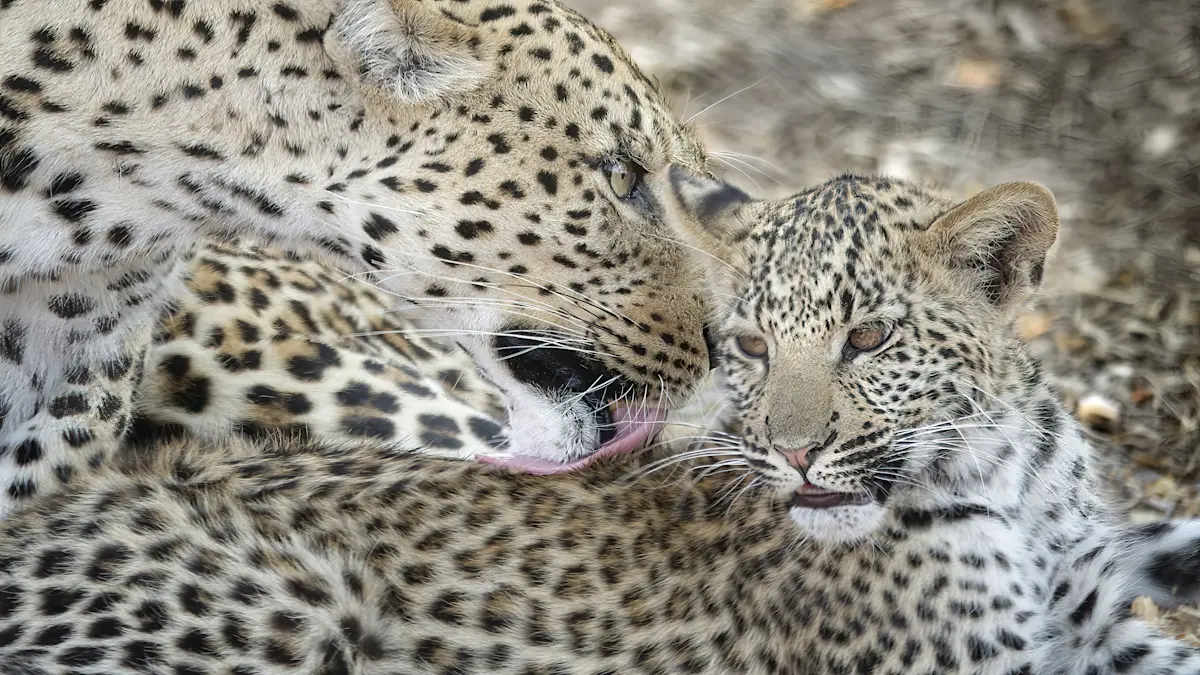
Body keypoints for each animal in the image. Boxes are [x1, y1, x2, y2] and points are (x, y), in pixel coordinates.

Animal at [3, 171, 1200, 675]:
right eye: (749, 346)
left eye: (867, 340)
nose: (793, 450)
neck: (1008, 475)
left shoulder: (1095, 618)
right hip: (292, 595)